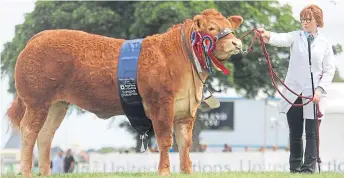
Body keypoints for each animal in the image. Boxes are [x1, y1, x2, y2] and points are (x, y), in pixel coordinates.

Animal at [6, 8, 243, 177]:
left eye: (230, 27)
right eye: (211, 28)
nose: (237, 43)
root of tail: (40, 36)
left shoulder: (186, 110)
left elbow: (185, 143)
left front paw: (187, 172)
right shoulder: (161, 104)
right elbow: (165, 140)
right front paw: (164, 171)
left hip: (57, 104)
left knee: (45, 134)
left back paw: (45, 173)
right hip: (37, 101)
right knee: (29, 131)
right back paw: (26, 172)